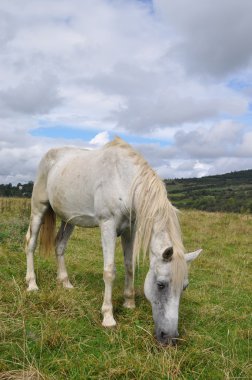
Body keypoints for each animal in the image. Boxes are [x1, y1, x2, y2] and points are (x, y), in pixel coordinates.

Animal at [25, 137, 202, 344]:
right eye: (161, 284)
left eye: (184, 287)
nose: (170, 338)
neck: (124, 179)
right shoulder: (108, 226)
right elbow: (109, 271)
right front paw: (108, 317)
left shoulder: (130, 230)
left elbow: (129, 265)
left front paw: (129, 302)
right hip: (39, 209)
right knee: (30, 243)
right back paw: (32, 284)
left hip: (69, 220)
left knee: (59, 245)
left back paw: (65, 283)